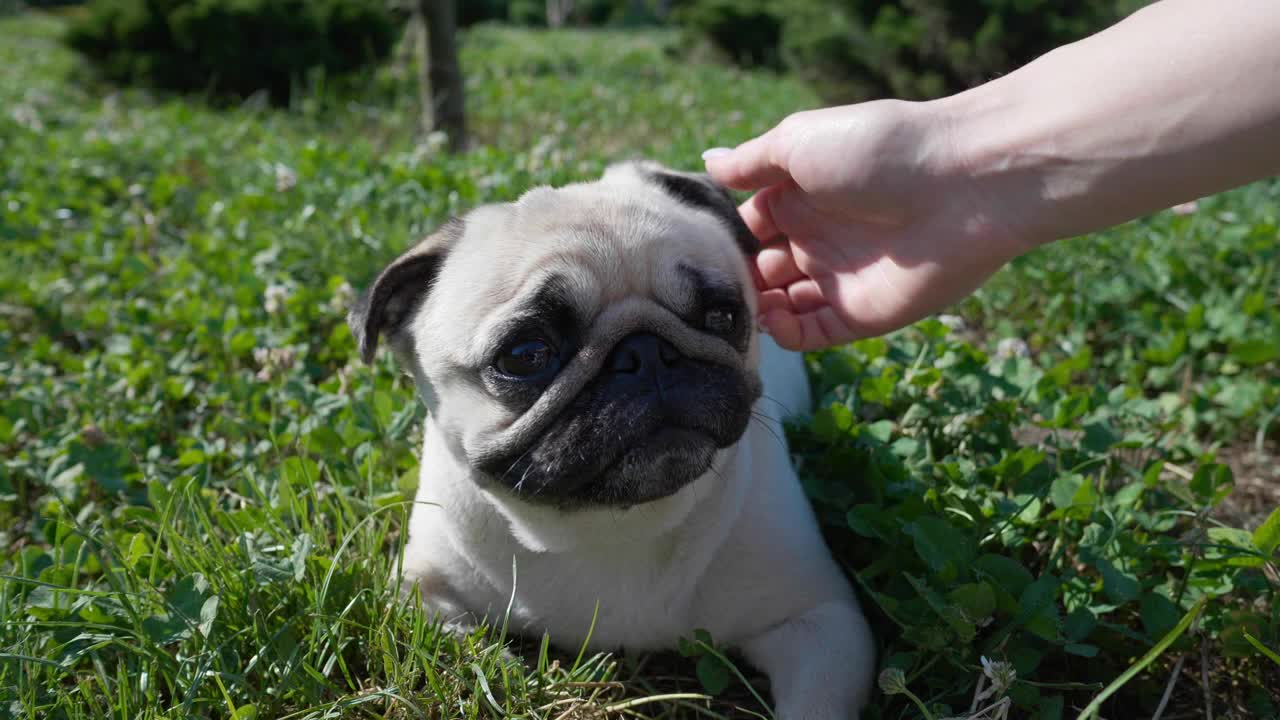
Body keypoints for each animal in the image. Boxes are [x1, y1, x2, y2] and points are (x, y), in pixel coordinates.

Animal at [345, 159, 875, 712]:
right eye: (525, 355)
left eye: (721, 317)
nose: (645, 353)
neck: (611, 520)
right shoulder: (421, 590)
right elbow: (469, 655)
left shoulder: (819, 621)